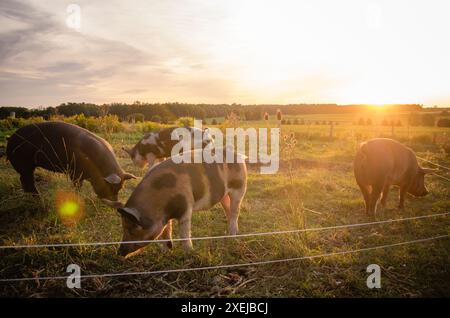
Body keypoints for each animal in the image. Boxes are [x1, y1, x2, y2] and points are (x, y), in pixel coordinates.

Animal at [6, 120, 136, 200]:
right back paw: (38, 198)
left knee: (24, 180)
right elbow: (77, 186)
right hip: (23, 164)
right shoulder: (75, 172)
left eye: (120, 188)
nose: (115, 204)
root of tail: (11, 138)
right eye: (110, 187)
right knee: (27, 179)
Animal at [103, 150, 248, 258]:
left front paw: (189, 253)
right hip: (224, 196)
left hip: (240, 188)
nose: (119, 252)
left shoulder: (186, 208)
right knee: (228, 210)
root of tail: (240, 155)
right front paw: (165, 250)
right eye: (123, 227)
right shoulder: (164, 219)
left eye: (132, 230)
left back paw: (232, 235)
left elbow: (184, 234)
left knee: (235, 211)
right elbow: (165, 232)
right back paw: (229, 233)